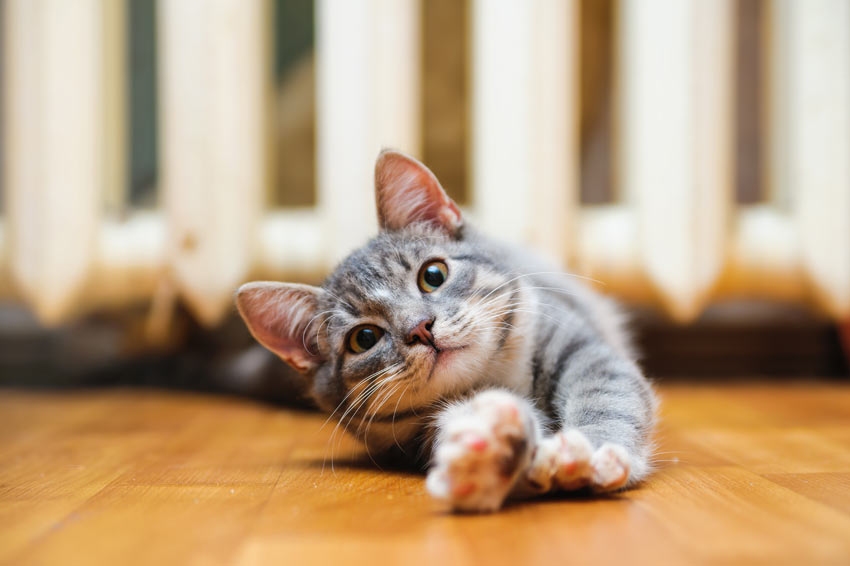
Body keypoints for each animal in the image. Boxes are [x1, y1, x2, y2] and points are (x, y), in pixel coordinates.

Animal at [235, 151, 660, 516]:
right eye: (364, 338)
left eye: (433, 275)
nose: (420, 328)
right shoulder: (422, 432)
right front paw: (493, 455)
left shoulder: (581, 348)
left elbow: (607, 395)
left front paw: (594, 449)